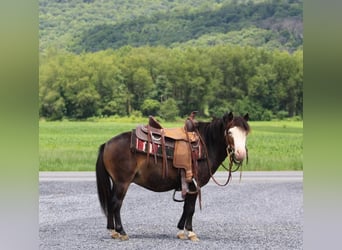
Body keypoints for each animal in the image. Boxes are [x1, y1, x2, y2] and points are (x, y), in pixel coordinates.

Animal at [95, 111, 250, 240]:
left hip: (116, 182)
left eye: (245, 133)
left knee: (111, 202)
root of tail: (107, 144)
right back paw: (121, 232)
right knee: (116, 203)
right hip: (122, 182)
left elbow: (186, 208)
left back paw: (113, 231)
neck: (205, 145)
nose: (240, 154)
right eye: (230, 132)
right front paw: (191, 233)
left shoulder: (188, 185)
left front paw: (181, 231)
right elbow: (190, 209)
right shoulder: (195, 185)